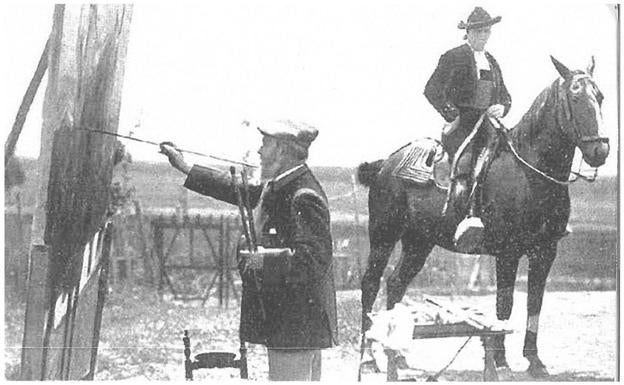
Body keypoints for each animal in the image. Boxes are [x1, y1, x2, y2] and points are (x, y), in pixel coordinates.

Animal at [356, 55, 608, 376]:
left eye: (600, 97)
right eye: (575, 97)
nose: (600, 150)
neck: (530, 172)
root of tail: (386, 163)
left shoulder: (545, 251)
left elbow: (535, 303)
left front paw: (534, 360)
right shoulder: (508, 252)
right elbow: (504, 303)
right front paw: (500, 360)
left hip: (419, 242)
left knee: (396, 283)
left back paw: (397, 353)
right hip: (383, 234)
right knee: (370, 284)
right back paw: (369, 355)